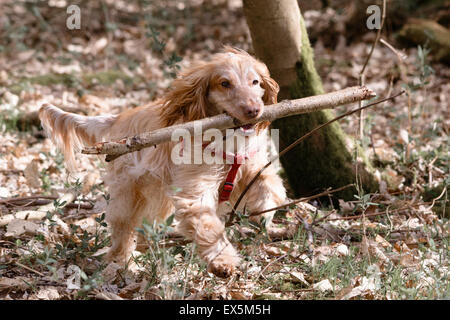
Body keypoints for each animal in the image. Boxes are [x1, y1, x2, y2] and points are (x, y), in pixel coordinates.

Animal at [41, 46, 288, 276]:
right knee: (122, 228)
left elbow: (271, 185)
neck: (227, 139)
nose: (254, 110)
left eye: (255, 81)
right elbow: (208, 227)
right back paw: (120, 260)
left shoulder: (250, 167)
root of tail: (119, 118)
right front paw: (222, 261)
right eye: (225, 83)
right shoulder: (195, 192)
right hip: (128, 192)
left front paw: (264, 212)